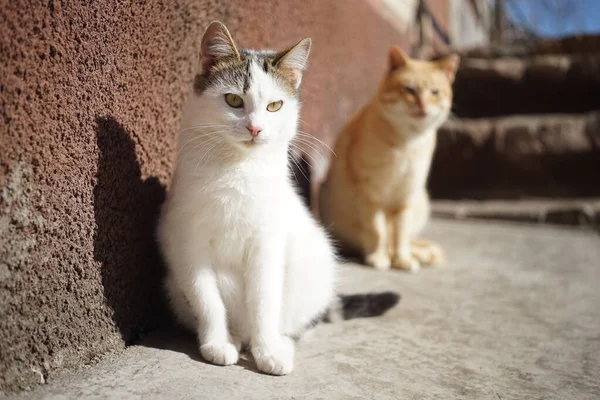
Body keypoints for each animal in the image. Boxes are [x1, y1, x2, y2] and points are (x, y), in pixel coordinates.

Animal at [158, 21, 398, 376]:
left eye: (275, 106)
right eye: (233, 100)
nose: (255, 129)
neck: (238, 168)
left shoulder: (267, 244)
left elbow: (264, 301)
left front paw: (268, 351)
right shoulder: (188, 245)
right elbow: (208, 300)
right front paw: (216, 344)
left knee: (294, 322)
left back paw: (279, 342)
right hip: (173, 288)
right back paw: (235, 338)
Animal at [318, 47, 460, 272]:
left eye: (435, 93)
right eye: (409, 90)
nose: (422, 104)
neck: (408, 142)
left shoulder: (406, 195)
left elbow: (400, 234)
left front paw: (403, 259)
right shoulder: (369, 193)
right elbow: (377, 231)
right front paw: (378, 257)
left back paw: (420, 255)